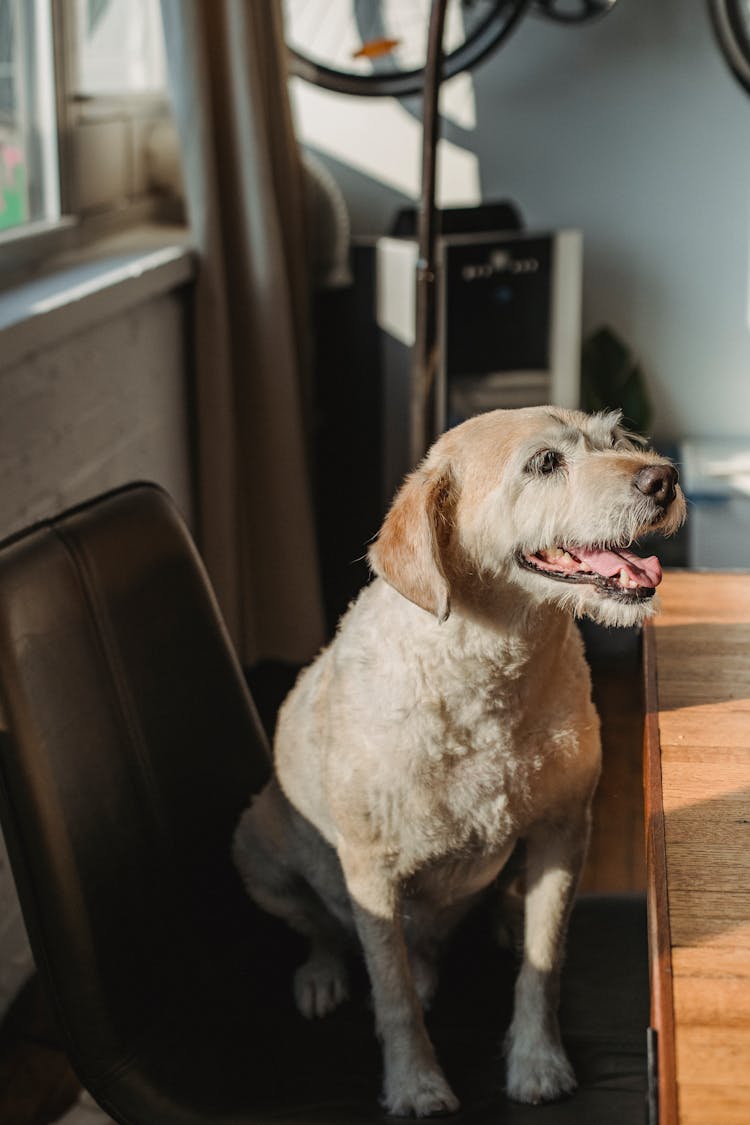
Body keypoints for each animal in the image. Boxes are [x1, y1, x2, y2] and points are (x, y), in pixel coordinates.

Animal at [235, 407, 688, 1116]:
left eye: (616, 439)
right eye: (545, 462)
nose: (663, 478)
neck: (490, 672)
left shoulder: (564, 833)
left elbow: (542, 964)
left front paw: (536, 1059)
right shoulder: (370, 871)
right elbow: (392, 995)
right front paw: (415, 1082)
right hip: (256, 849)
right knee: (331, 933)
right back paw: (324, 974)